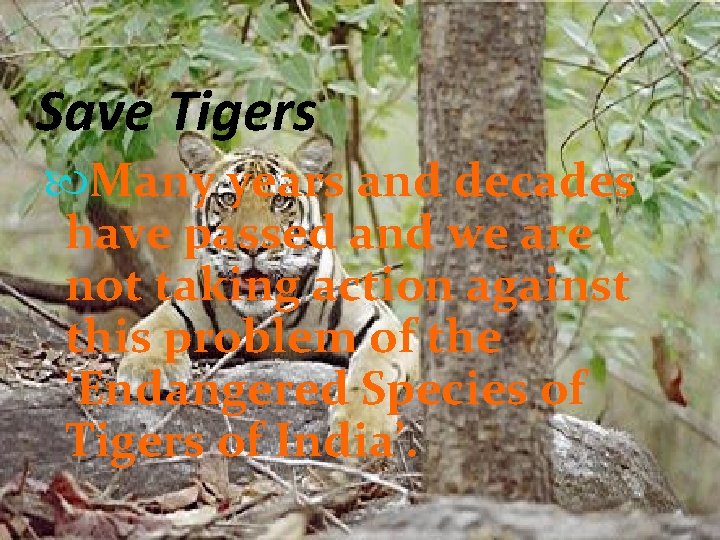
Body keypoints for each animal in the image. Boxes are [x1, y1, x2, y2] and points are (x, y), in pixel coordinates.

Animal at [117, 131, 420, 452]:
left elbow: (374, 365)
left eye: (280, 200)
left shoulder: (383, 323)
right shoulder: (175, 309)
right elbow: (152, 331)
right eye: (228, 198)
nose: (252, 247)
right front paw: (147, 371)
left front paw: (360, 430)